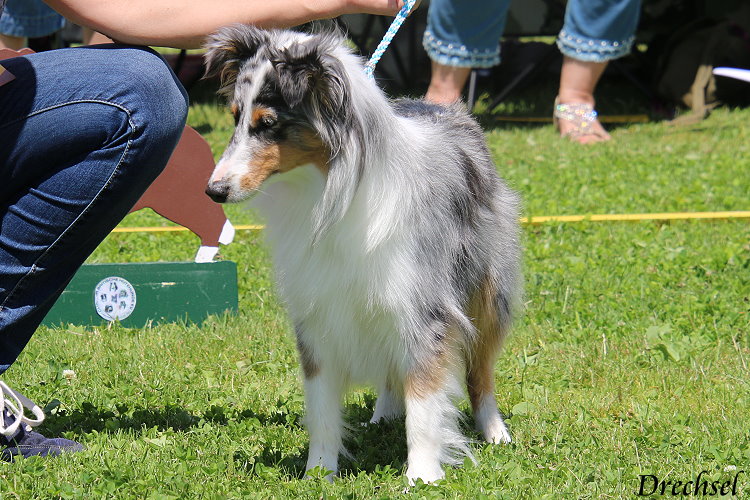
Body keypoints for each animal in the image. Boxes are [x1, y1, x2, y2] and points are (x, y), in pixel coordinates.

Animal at [204, 24, 524, 484]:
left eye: (268, 124)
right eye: (234, 117)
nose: (213, 191)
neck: (330, 190)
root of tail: (450, 111)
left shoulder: (423, 306)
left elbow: (424, 402)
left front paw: (422, 476)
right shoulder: (317, 311)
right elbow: (322, 407)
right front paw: (318, 473)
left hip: (486, 292)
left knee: (480, 372)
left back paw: (495, 431)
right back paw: (385, 413)